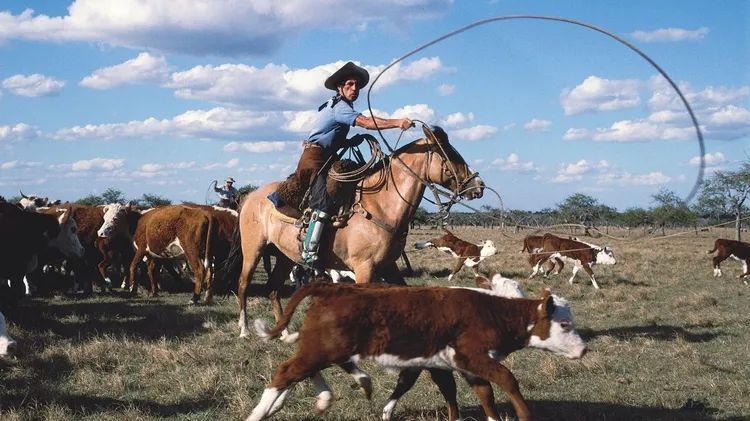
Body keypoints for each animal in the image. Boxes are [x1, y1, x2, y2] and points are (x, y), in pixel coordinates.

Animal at [224, 126, 486, 338]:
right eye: (450, 154)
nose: (479, 186)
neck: (381, 205)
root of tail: (251, 196)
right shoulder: (364, 269)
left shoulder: (388, 267)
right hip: (254, 249)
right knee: (243, 284)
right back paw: (244, 330)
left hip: (285, 256)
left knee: (274, 288)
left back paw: (284, 332)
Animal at [249, 282, 586, 421]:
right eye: (564, 324)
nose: (583, 349)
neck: (488, 310)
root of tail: (335, 288)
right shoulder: (472, 355)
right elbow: (506, 379)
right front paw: (524, 415)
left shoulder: (453, 364)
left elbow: (479, 393)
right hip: (322, 349)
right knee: (286, 372)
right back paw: (259, 413)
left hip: (322, 348)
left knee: (301, 372)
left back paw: (328, 396)